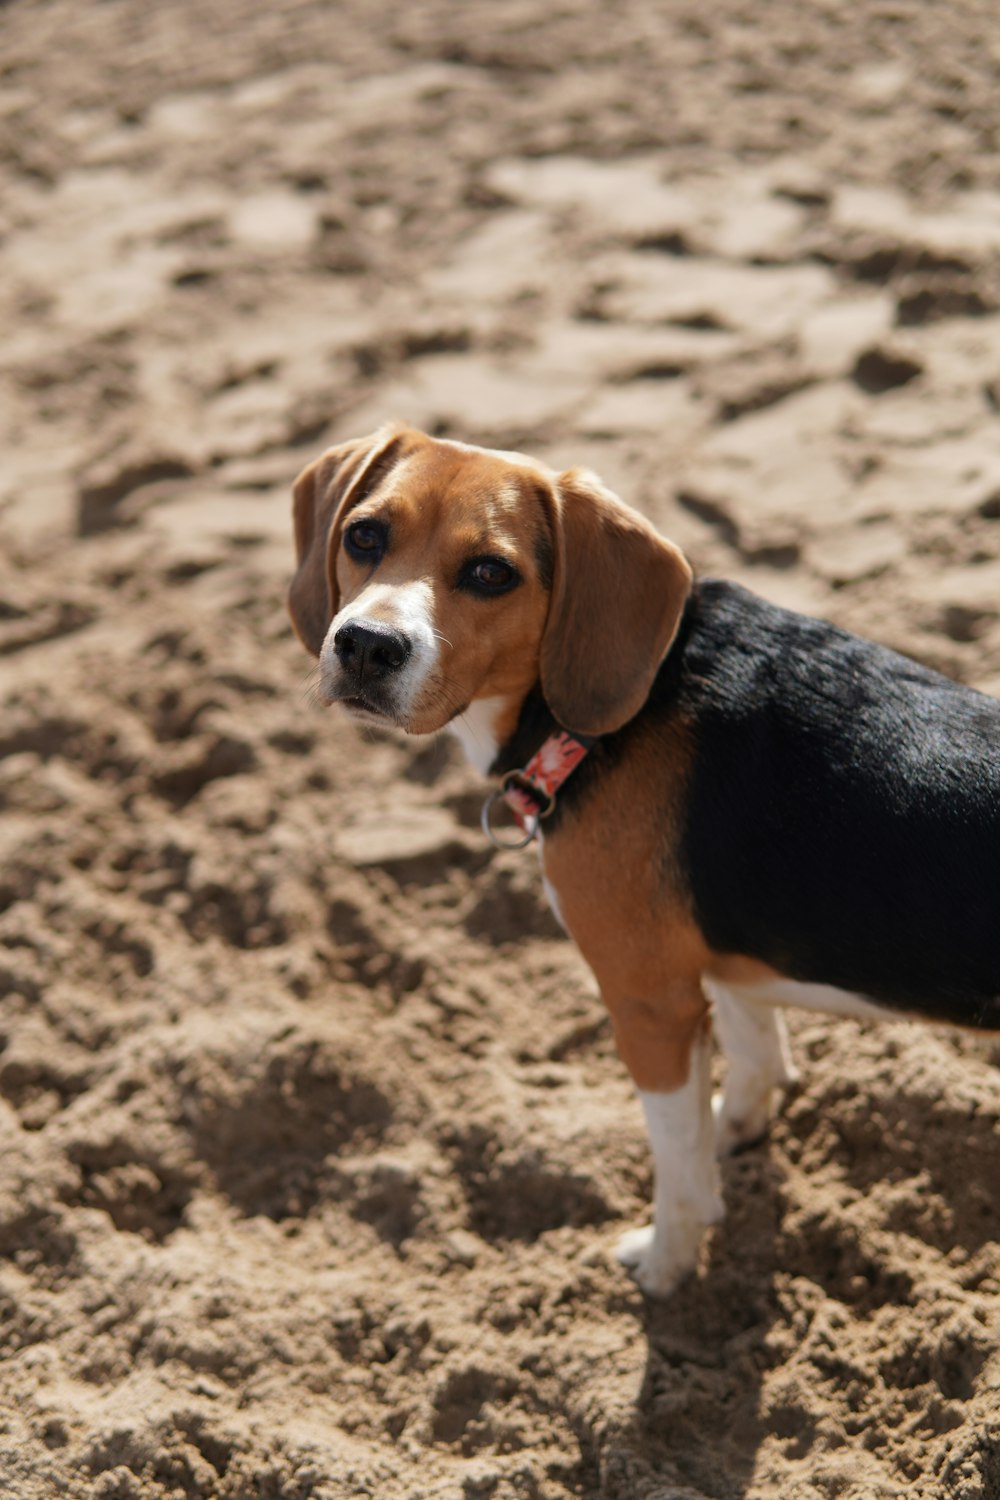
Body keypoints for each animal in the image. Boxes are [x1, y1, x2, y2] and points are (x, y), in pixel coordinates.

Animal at [287, 420, 1000, 1290]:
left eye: (491, 573)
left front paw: (666, 1266)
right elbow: (752, 1050)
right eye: (364, 535)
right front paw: (739, 1128)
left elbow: (679, 1165)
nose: (364, 645)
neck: (616, 708)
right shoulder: (716, 963)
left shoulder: (647, 1005)